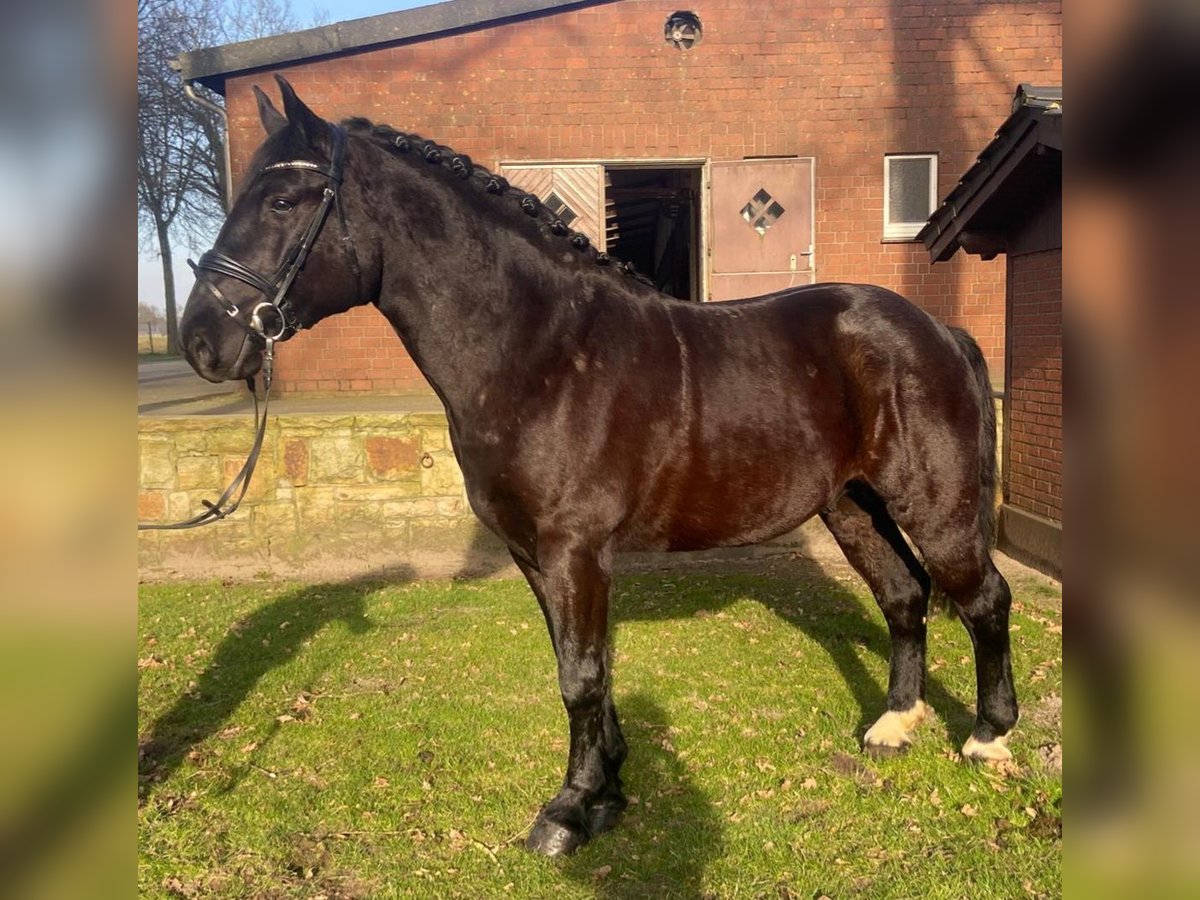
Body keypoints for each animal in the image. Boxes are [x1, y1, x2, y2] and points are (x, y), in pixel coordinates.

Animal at [182, 79, 1017, 859]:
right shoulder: (539, 555)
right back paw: (894, 726)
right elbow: (587, 666)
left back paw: (988, 738)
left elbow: (580, 676)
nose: (201, 340)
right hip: (851, 506)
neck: (540, 351)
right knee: (905, 596)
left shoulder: (572, 551)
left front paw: (569, 810)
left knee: (984, 599)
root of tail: (938, 330)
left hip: (934, 508)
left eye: (283, 200)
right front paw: (609, 787)